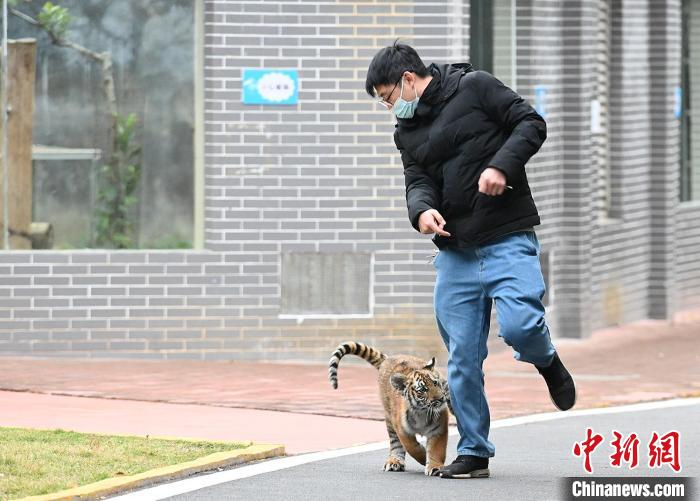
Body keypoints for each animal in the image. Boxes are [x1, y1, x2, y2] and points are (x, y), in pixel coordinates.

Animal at [328, 341, 451, 476]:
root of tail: (388, 359)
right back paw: (394, 462)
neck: (421, 412)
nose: (441, 398)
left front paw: (435, 467)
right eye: (422, 390)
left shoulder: (438, 429)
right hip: (389, 421)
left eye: (435, 383)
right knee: (395, 444)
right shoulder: (402, 430)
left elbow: (436, 450)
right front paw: (423, 456)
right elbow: (412, 447)